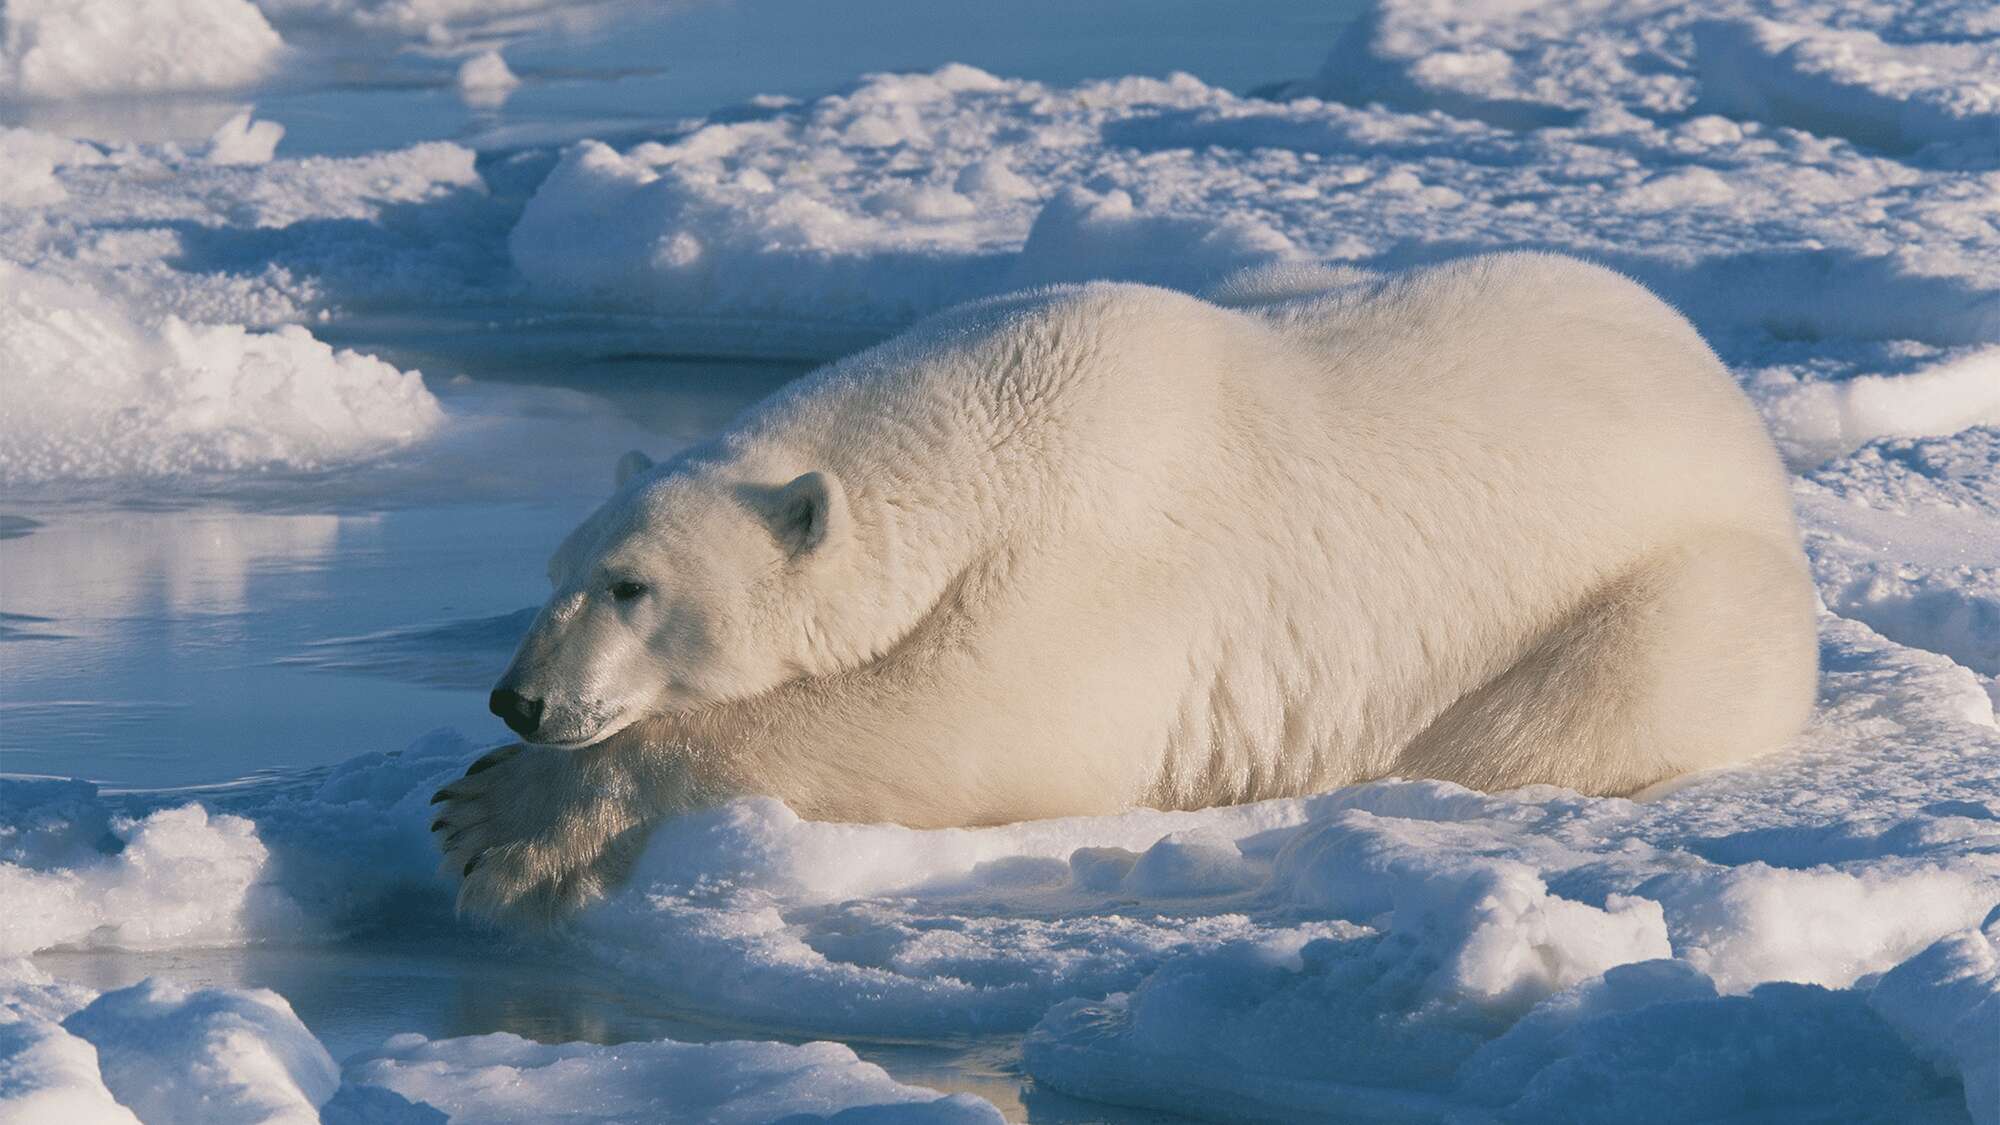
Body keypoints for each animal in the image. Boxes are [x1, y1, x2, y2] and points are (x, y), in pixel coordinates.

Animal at [430, 249, 1824, 916]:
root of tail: (1733, 409)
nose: (517, 702)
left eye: (632, 588)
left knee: (1586, 702)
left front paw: (493, 820)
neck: (987, 432)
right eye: (556, 572)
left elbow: (963, 728)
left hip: (1676, 590)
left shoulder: (1104, 566)